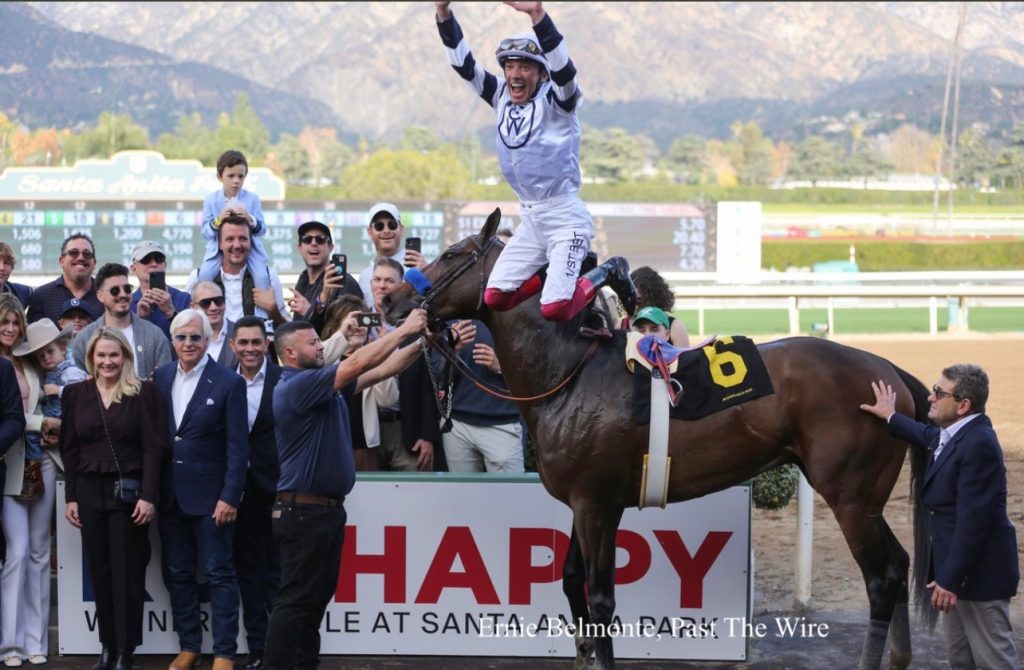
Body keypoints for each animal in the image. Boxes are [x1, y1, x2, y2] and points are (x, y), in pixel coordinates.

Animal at [385, 211, 937, 670]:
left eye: (452, 254)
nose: (392, 300)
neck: (568, 375)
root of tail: (889, 370)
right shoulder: (581, 502)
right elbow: (571, 583)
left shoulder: (598, 504)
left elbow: (600, 599)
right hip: (866, 500)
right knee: (900, 564)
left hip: (849, 495)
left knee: (882, 578)